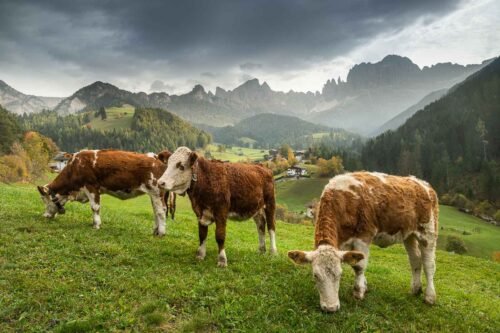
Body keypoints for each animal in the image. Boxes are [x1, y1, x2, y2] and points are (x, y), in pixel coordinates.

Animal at [36, 149, 176, 235]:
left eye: (44, 200)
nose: (45, 215)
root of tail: (156, 157)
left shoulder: (91, 186)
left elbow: (95, 207)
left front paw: (96, 225)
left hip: (156, 191)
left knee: (161, 211)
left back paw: (161, 233)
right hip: (153, 194)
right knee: (156, 211)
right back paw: (155, 230)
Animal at [290, 171, 438, 312]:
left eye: (340, 275)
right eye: (315, 275)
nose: (331, 308)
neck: (344, 201)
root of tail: (423, 184)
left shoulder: (364, 236)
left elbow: (359, 266)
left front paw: (358, 292)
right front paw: (364, 285)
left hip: (429, 232)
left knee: (429, 264)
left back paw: (430, 297)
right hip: (409, 234)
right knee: (415, 260)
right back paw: (415, 289)